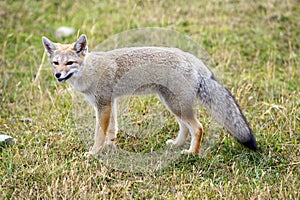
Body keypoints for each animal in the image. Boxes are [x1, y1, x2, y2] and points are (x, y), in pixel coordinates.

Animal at [41, 34, 258, 155]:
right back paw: (177, 144)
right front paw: (110, 148)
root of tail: (190, 58)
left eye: (69, 63)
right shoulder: (110, 103)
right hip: (171, 104)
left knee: (198, 128)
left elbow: (99, 134)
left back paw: (191, 153)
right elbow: (111, 130)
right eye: (55, 63)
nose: (58, 75)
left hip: (176, 106)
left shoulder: (103, 104)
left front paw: (94, 153)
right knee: (185, 127)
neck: (90, 70)